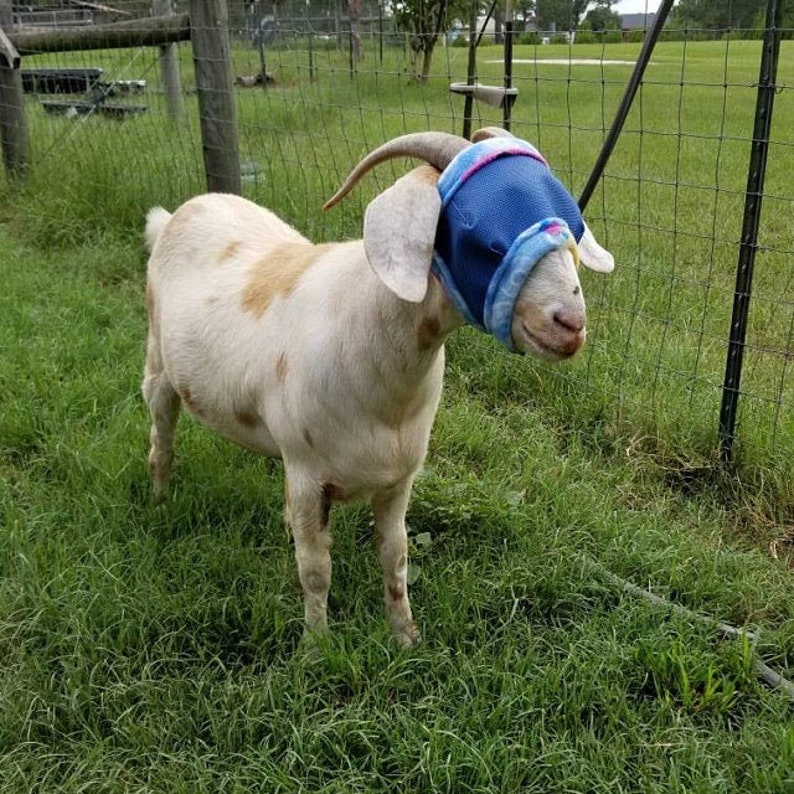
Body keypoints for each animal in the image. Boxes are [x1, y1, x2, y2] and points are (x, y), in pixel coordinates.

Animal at [141, 127, 614, 646]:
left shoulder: (397, 480)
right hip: (159, 367)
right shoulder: (308, 476)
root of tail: (180, 212)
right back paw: (160, 502)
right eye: (479, 237)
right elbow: (316, 570)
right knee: (161, 440)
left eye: (572, 224)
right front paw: (316, 646)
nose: (570, 324)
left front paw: (406, 636)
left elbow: (396, 557)